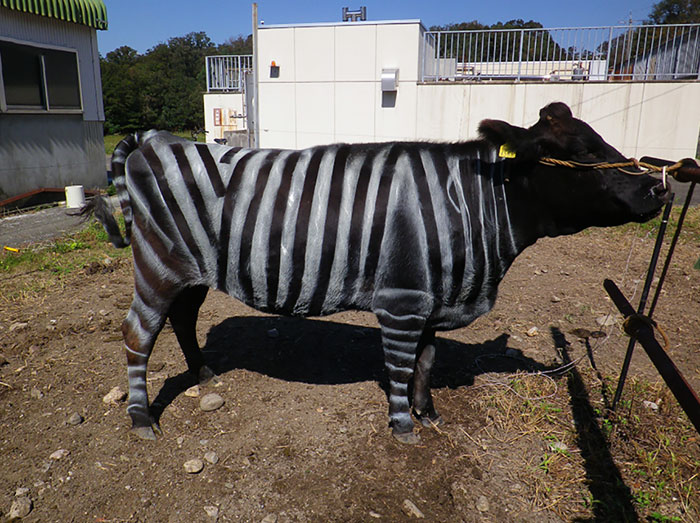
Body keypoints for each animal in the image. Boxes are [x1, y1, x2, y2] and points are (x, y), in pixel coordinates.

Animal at [88, 102, 668, 443]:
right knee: (138, 334)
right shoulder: (403, 300)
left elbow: (427, 362)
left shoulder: (434, 298)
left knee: (182, 319)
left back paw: (205, 373)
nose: (659, 188)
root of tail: (157, 139)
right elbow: (400, 366)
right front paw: (404, 427)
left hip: (191, 270)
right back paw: (142, 420)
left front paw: (429, 413)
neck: (469, 206)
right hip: (159, 265)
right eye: (579, 153)